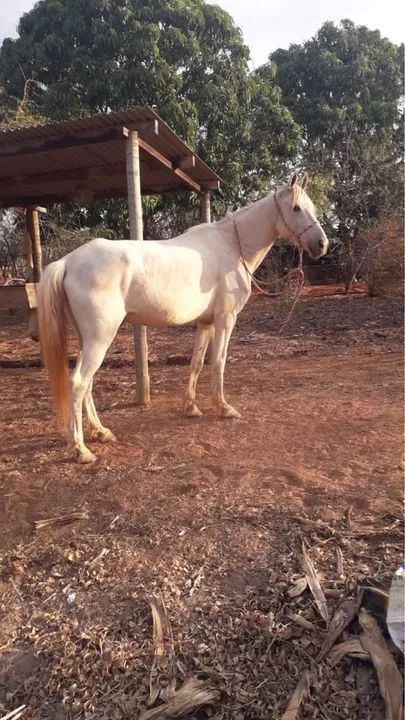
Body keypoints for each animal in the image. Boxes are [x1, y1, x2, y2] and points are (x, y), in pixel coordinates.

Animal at [37, 173, 328, 463]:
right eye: (296, 208)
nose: (321, 245)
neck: (232, 246)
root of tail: (68, 261)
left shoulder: (206, 323)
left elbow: (197, 363)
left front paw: (191, 408)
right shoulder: (226, 319)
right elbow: (218, 362)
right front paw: (224, 408)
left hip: (88, 339)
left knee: (87, 384)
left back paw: (100, 432)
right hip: (100, 337)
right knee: (78, 382)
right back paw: (81, 449)